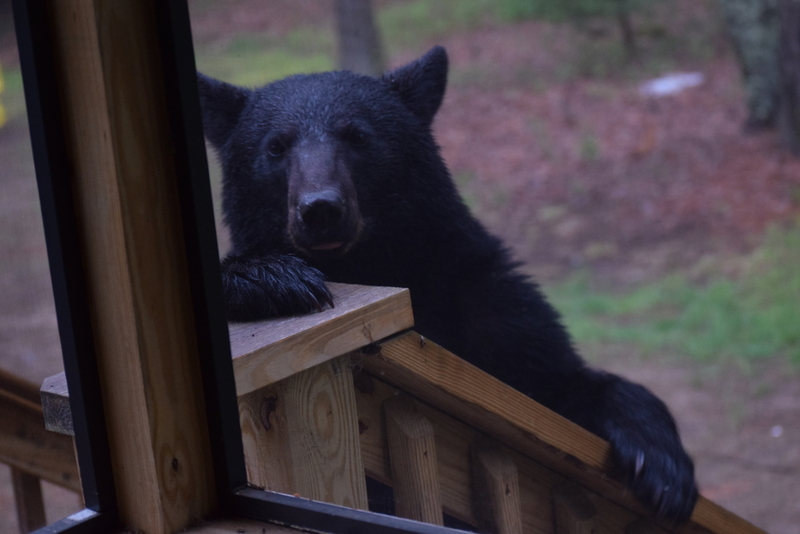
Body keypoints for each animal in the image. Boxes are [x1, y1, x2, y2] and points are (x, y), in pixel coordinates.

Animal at [197, 46, 696, 524]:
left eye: (357, 136)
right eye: (275, 147)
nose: (320, 209)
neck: (371, 264)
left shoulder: (483, 301)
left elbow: (559, 385)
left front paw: (664, 469)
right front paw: (271, 278)